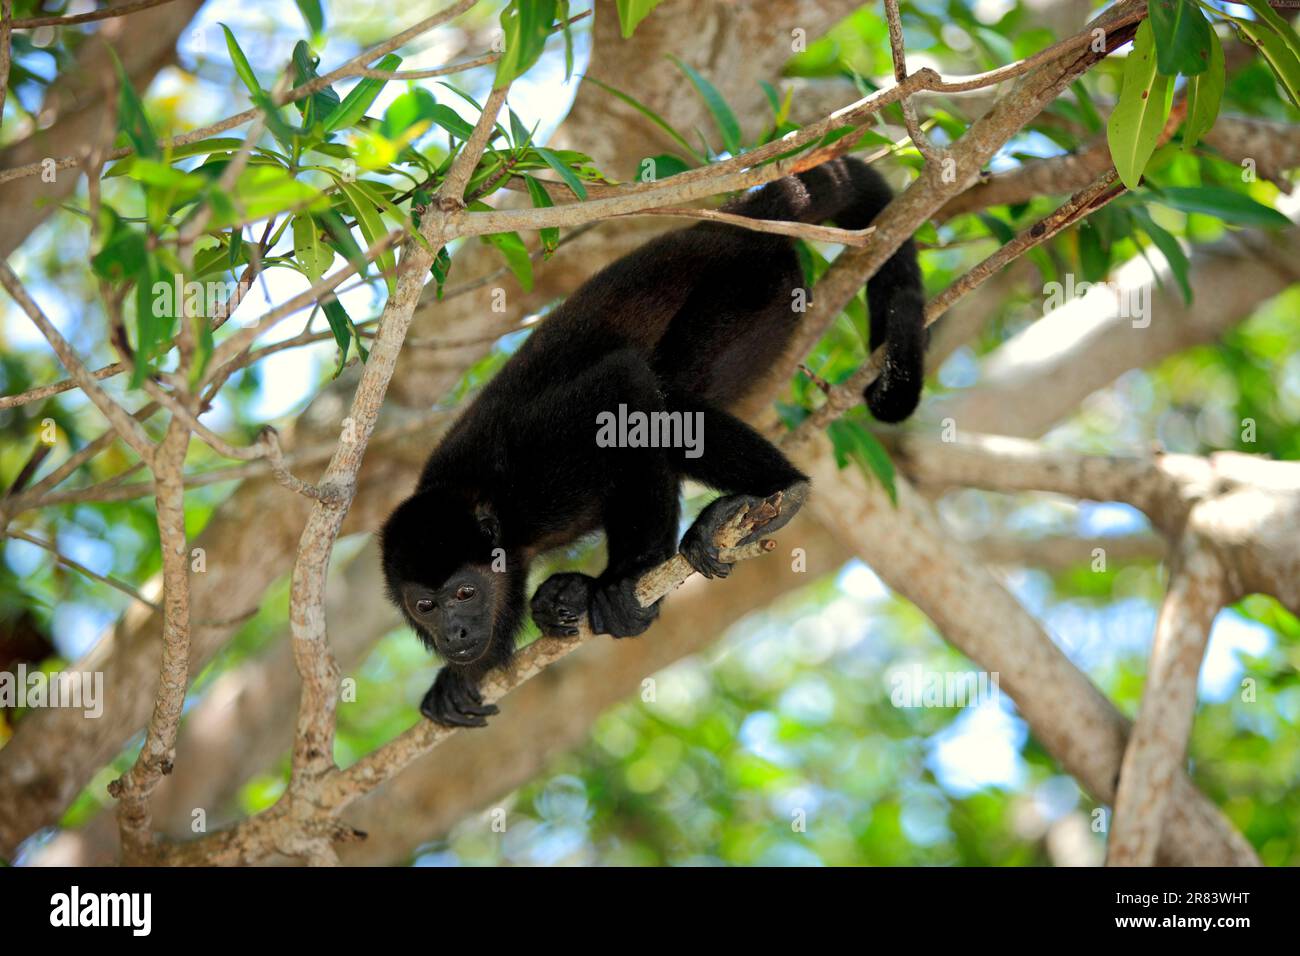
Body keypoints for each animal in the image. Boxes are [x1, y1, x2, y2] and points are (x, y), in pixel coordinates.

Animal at [377, 155, 925, 723]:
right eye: (425, 605)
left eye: (465, 592)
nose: (455, 634)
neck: (500, 520)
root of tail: (722, 224)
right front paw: (456, 679)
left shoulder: (535, 471)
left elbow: (623, 394)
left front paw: (630, 575)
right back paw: (567, 595)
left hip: (748, 289)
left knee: (672, 402)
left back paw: (780, 491)